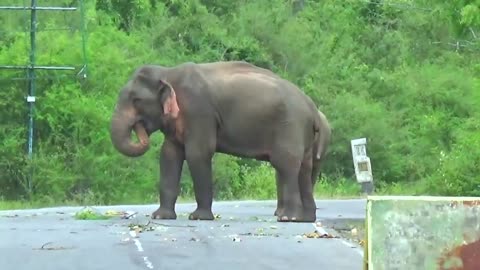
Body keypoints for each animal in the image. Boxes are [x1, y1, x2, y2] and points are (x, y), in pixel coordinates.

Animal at [109, 61, 330, 224]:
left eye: (136, 100)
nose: (139, 128)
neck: (168, 73)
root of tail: (312, 108)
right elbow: (169, 155)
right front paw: (161, 217)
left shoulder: (199, 112)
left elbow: (198, 153)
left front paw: (199, 218)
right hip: (302, 133)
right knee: (304, 168)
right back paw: (305, 219)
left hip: (290, 126)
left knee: (286, 164)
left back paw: (288, 218)